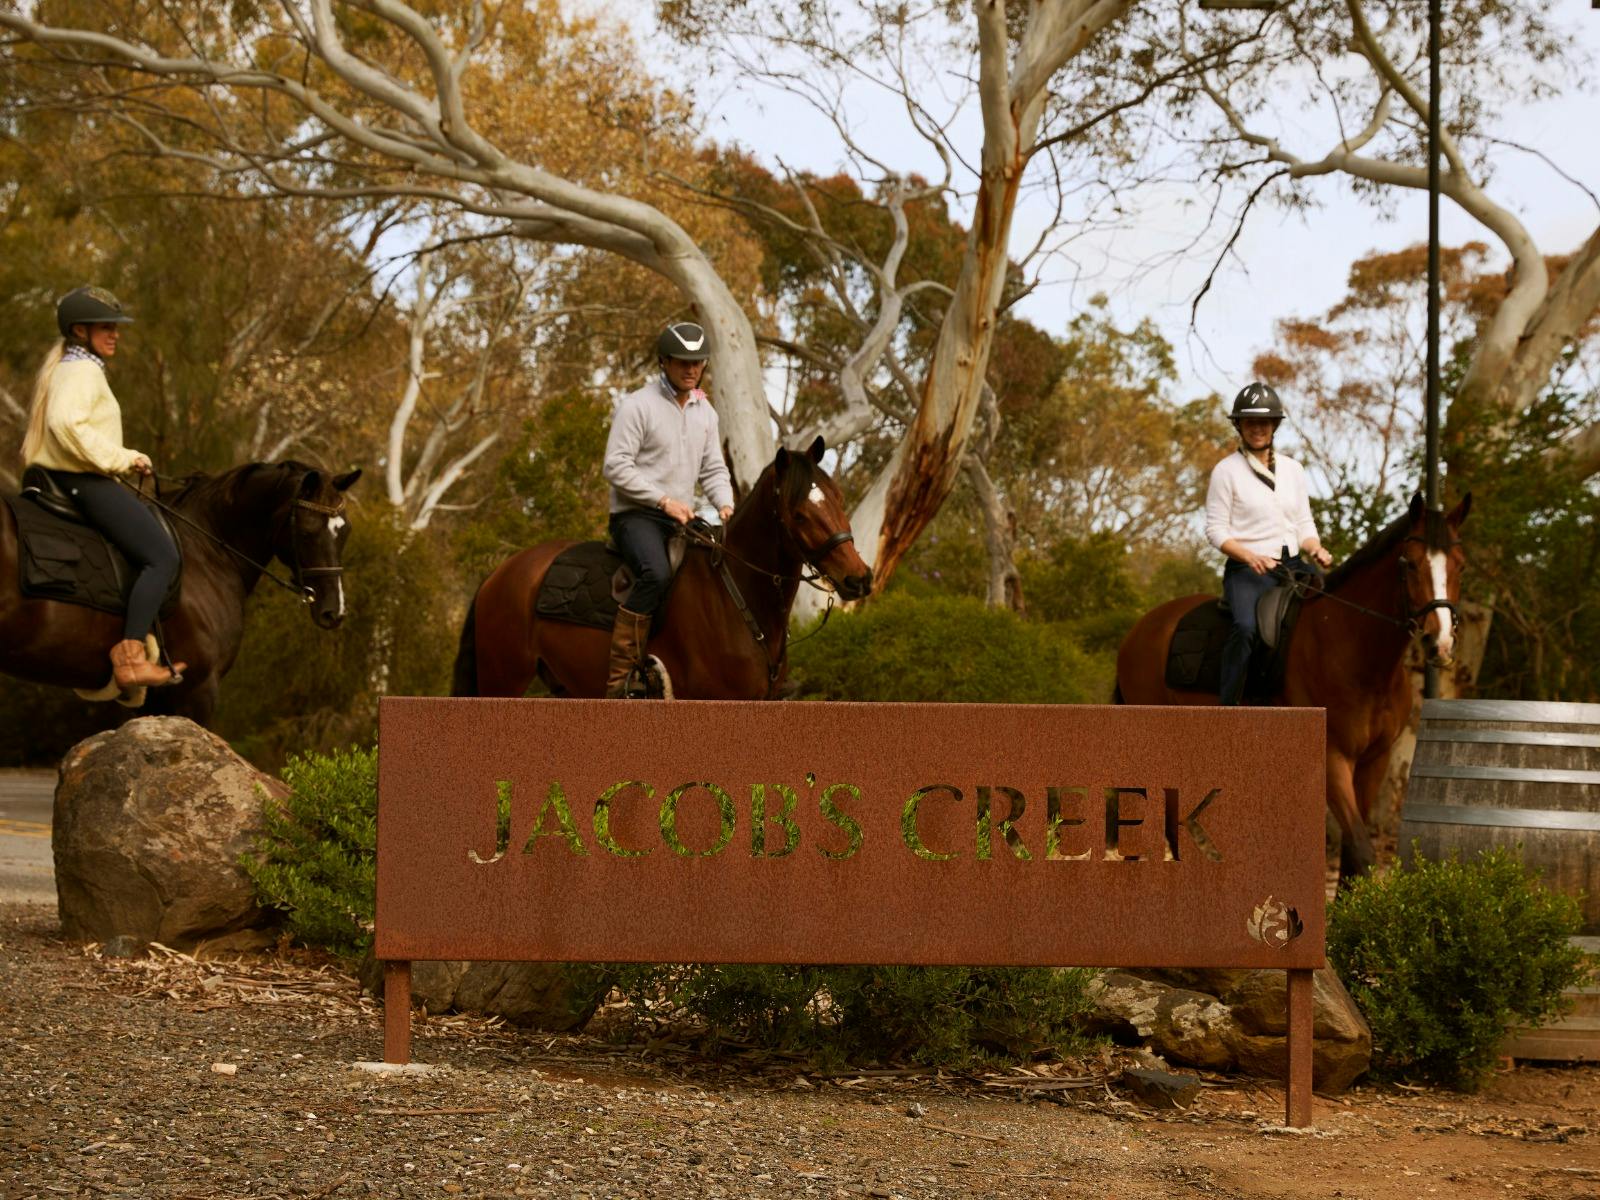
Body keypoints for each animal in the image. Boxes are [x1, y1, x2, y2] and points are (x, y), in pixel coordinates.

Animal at [0, 461, 361, 726]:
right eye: (308, 531)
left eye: (344, 531)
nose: (334, 610)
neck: (207, 552)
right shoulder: (197, 690)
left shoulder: (155, 700)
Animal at [453, 437, 873, 700]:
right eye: (799, 514)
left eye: (838, 498)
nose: (859, 578)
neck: (735, 598)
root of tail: (500, 575)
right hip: (503, 678)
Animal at [1114, 492, 1470, 885]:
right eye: (1409, 563)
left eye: (1460, 566)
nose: (1439, 642)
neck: (1354, 649)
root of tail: (1141, 631)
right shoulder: (1333, 759)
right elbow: (1361, 848)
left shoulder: (1375, 761)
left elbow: (1352, 854)